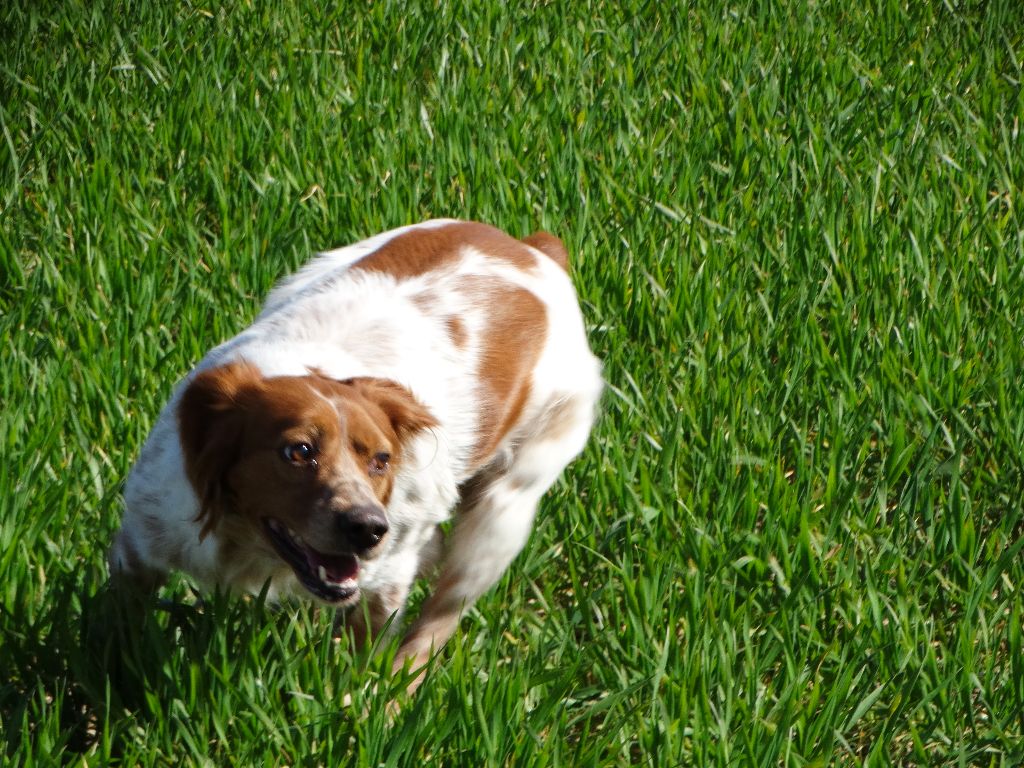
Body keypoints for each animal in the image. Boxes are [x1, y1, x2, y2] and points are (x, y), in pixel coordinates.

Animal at [108, 219, 602, 688]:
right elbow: (120, 629)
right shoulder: (145, 534)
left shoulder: (386, 579)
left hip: (502, 513)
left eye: (381, 460)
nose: (368, 528)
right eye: (299, 451)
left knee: (436, 622)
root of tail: (533, 249)